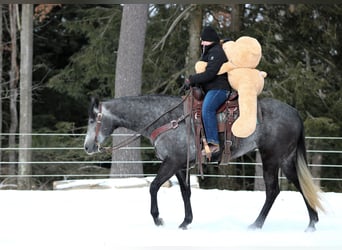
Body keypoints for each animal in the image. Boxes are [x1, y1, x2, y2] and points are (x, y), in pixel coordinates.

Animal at [83, 94, 324, 232]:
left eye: (93, 119)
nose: (87, 147)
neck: (165, 119)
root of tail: (294, 112)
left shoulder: (172, 162)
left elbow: (153, 187)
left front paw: (158, 219)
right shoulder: (180, 165)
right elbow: (185, 193)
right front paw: (186, 221)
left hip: (271, 158)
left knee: (273, 190)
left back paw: (256, 224)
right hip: (286, 159)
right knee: (301, 185)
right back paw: (312, 223)